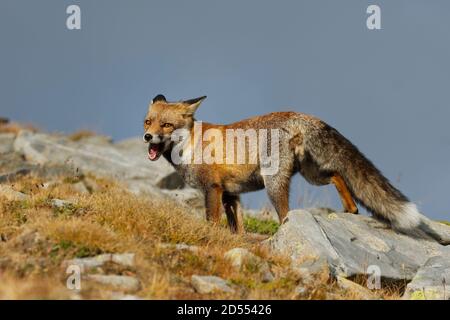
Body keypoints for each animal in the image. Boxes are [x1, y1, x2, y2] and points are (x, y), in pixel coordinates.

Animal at [144, 94, 446, 244]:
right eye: (148, 121)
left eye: (166, 125)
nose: (147, 137)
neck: (190, 145)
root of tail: (300, 115)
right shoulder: (231, 194)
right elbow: (237, 228)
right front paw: (239, 242)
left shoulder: (213, 189)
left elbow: (213, 222)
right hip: (313, 176)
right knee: (338, 175)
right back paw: (349, 210)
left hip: (273, 183)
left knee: (287, 215)